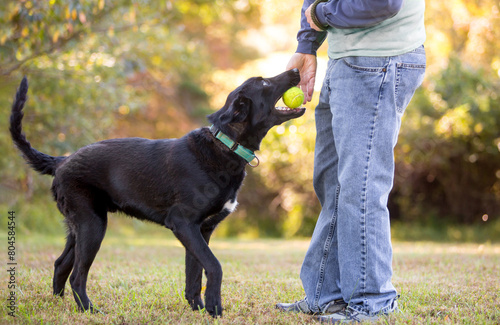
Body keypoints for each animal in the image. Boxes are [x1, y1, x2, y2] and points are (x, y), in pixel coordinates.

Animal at [8, 69, 304, 316]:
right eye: (264, 83)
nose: (296, 70)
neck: (225, 145)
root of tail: (62, 160)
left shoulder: (201, 230)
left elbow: (194, 275)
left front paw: (198, 309)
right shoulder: (183, 223)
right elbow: (214, 266)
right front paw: (214, 309)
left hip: (78, 227)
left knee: (60, 265)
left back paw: (58, 304)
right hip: (93, 225)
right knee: (76, 276)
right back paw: (90, 311)